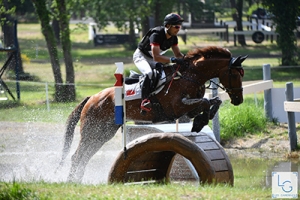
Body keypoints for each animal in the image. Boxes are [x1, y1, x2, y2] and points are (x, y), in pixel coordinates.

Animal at [58, 46, 246, 182]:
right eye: (234, 74)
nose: (238, 100)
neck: (190, 76)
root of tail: (92, 98)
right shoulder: (177, 107)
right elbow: (206, 102)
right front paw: (200, 122)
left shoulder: (190, 108)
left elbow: (213, 101)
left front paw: (202, 120)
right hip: (92, 130)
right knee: (77, 156)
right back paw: (71, 181)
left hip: (103, 133)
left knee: (85, 156)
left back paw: (77, 180)